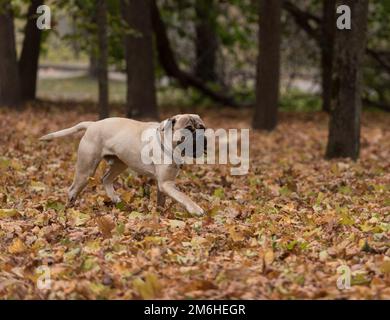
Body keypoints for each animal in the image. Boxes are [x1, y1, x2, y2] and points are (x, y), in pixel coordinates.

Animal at [40, 114, 207, 216]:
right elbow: (183, 196)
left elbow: (162, 201)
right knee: (73, 189)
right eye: (189, 129)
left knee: (106, 179)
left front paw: (160, 215)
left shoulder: (164, 184)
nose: (202, 137)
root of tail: (93, 124)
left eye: (202, 128)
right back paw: (70, 209)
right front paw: (196, 209)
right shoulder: (166, 183)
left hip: (120, 164)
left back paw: (115, 198)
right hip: (86, 170)